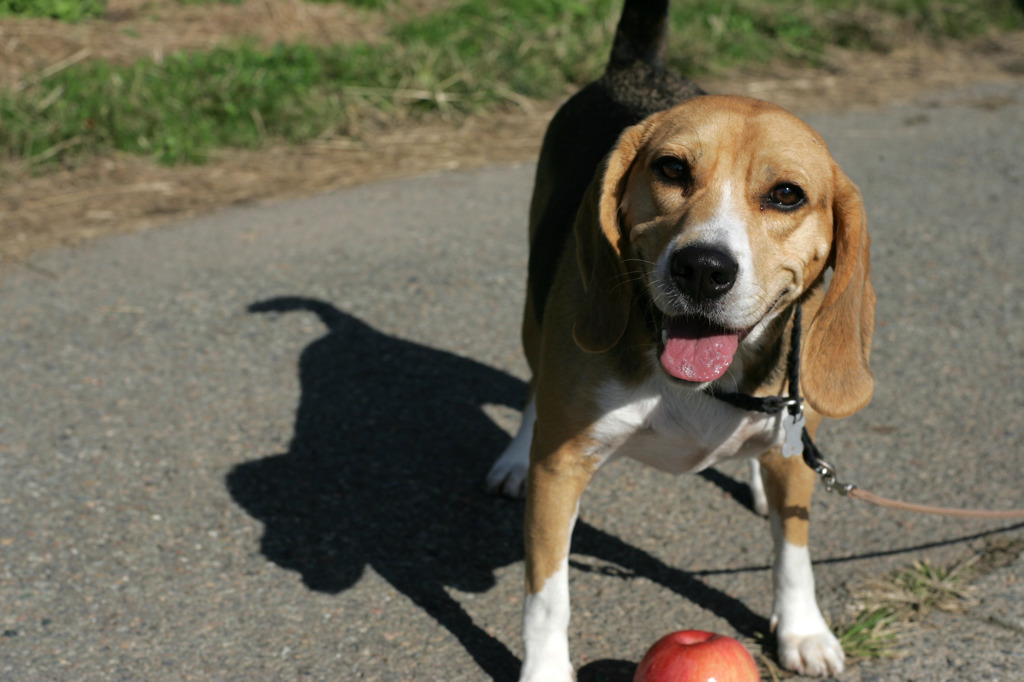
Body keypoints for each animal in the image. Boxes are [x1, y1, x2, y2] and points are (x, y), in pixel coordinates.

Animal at [485, 1, 872, 679]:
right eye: (671, 169)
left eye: (787, 195)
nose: (703, 269)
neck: (706, 386)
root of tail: (637, 67)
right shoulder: (561, 471)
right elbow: (548, 595)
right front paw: (545, 670)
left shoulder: (798, 452)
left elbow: (793, 553)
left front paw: (803, 630)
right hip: (536, 310)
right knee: (534, 387)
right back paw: (512, 460)